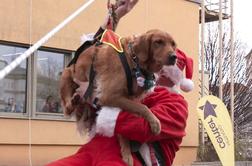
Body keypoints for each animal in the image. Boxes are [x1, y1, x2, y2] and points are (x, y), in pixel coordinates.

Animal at [59, 28, 176, 165]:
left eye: (173, 44)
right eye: (158, 42)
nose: (174, 57)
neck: (133, 60)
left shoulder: (126, 99)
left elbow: (124, 127)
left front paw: (126, 153)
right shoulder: (109, 96)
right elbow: (143, 107)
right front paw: (155, 122)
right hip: (67, 74)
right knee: (67, 108)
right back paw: (73, 102)